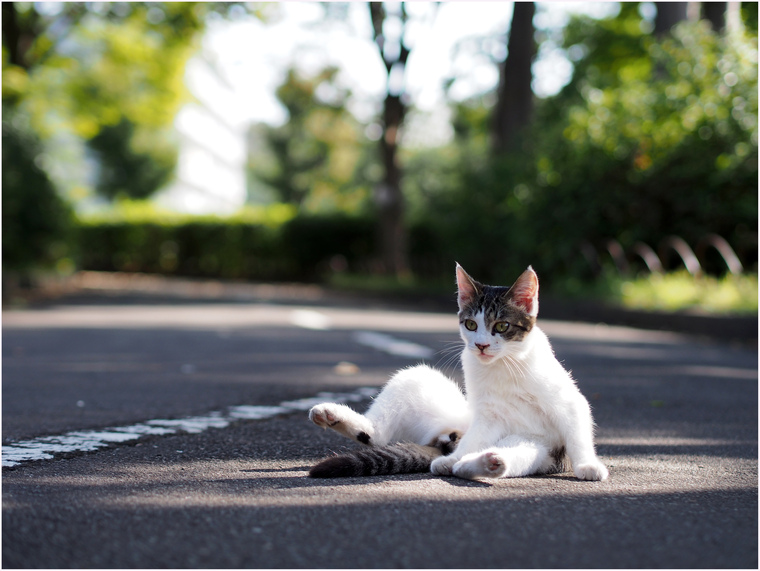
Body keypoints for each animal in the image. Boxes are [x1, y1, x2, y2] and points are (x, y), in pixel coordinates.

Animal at [306, 264, 608, 482]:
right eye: (471, 324)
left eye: (502, 326)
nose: (482, 345)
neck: (504, 365)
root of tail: (443, 436)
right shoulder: (487, 416)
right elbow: (477, 435)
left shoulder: (570, 403)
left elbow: (578, 434)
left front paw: (588, 465)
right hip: (417, 378)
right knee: (378, 435)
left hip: (537, 448)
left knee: (511, 458)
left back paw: (485, 463)